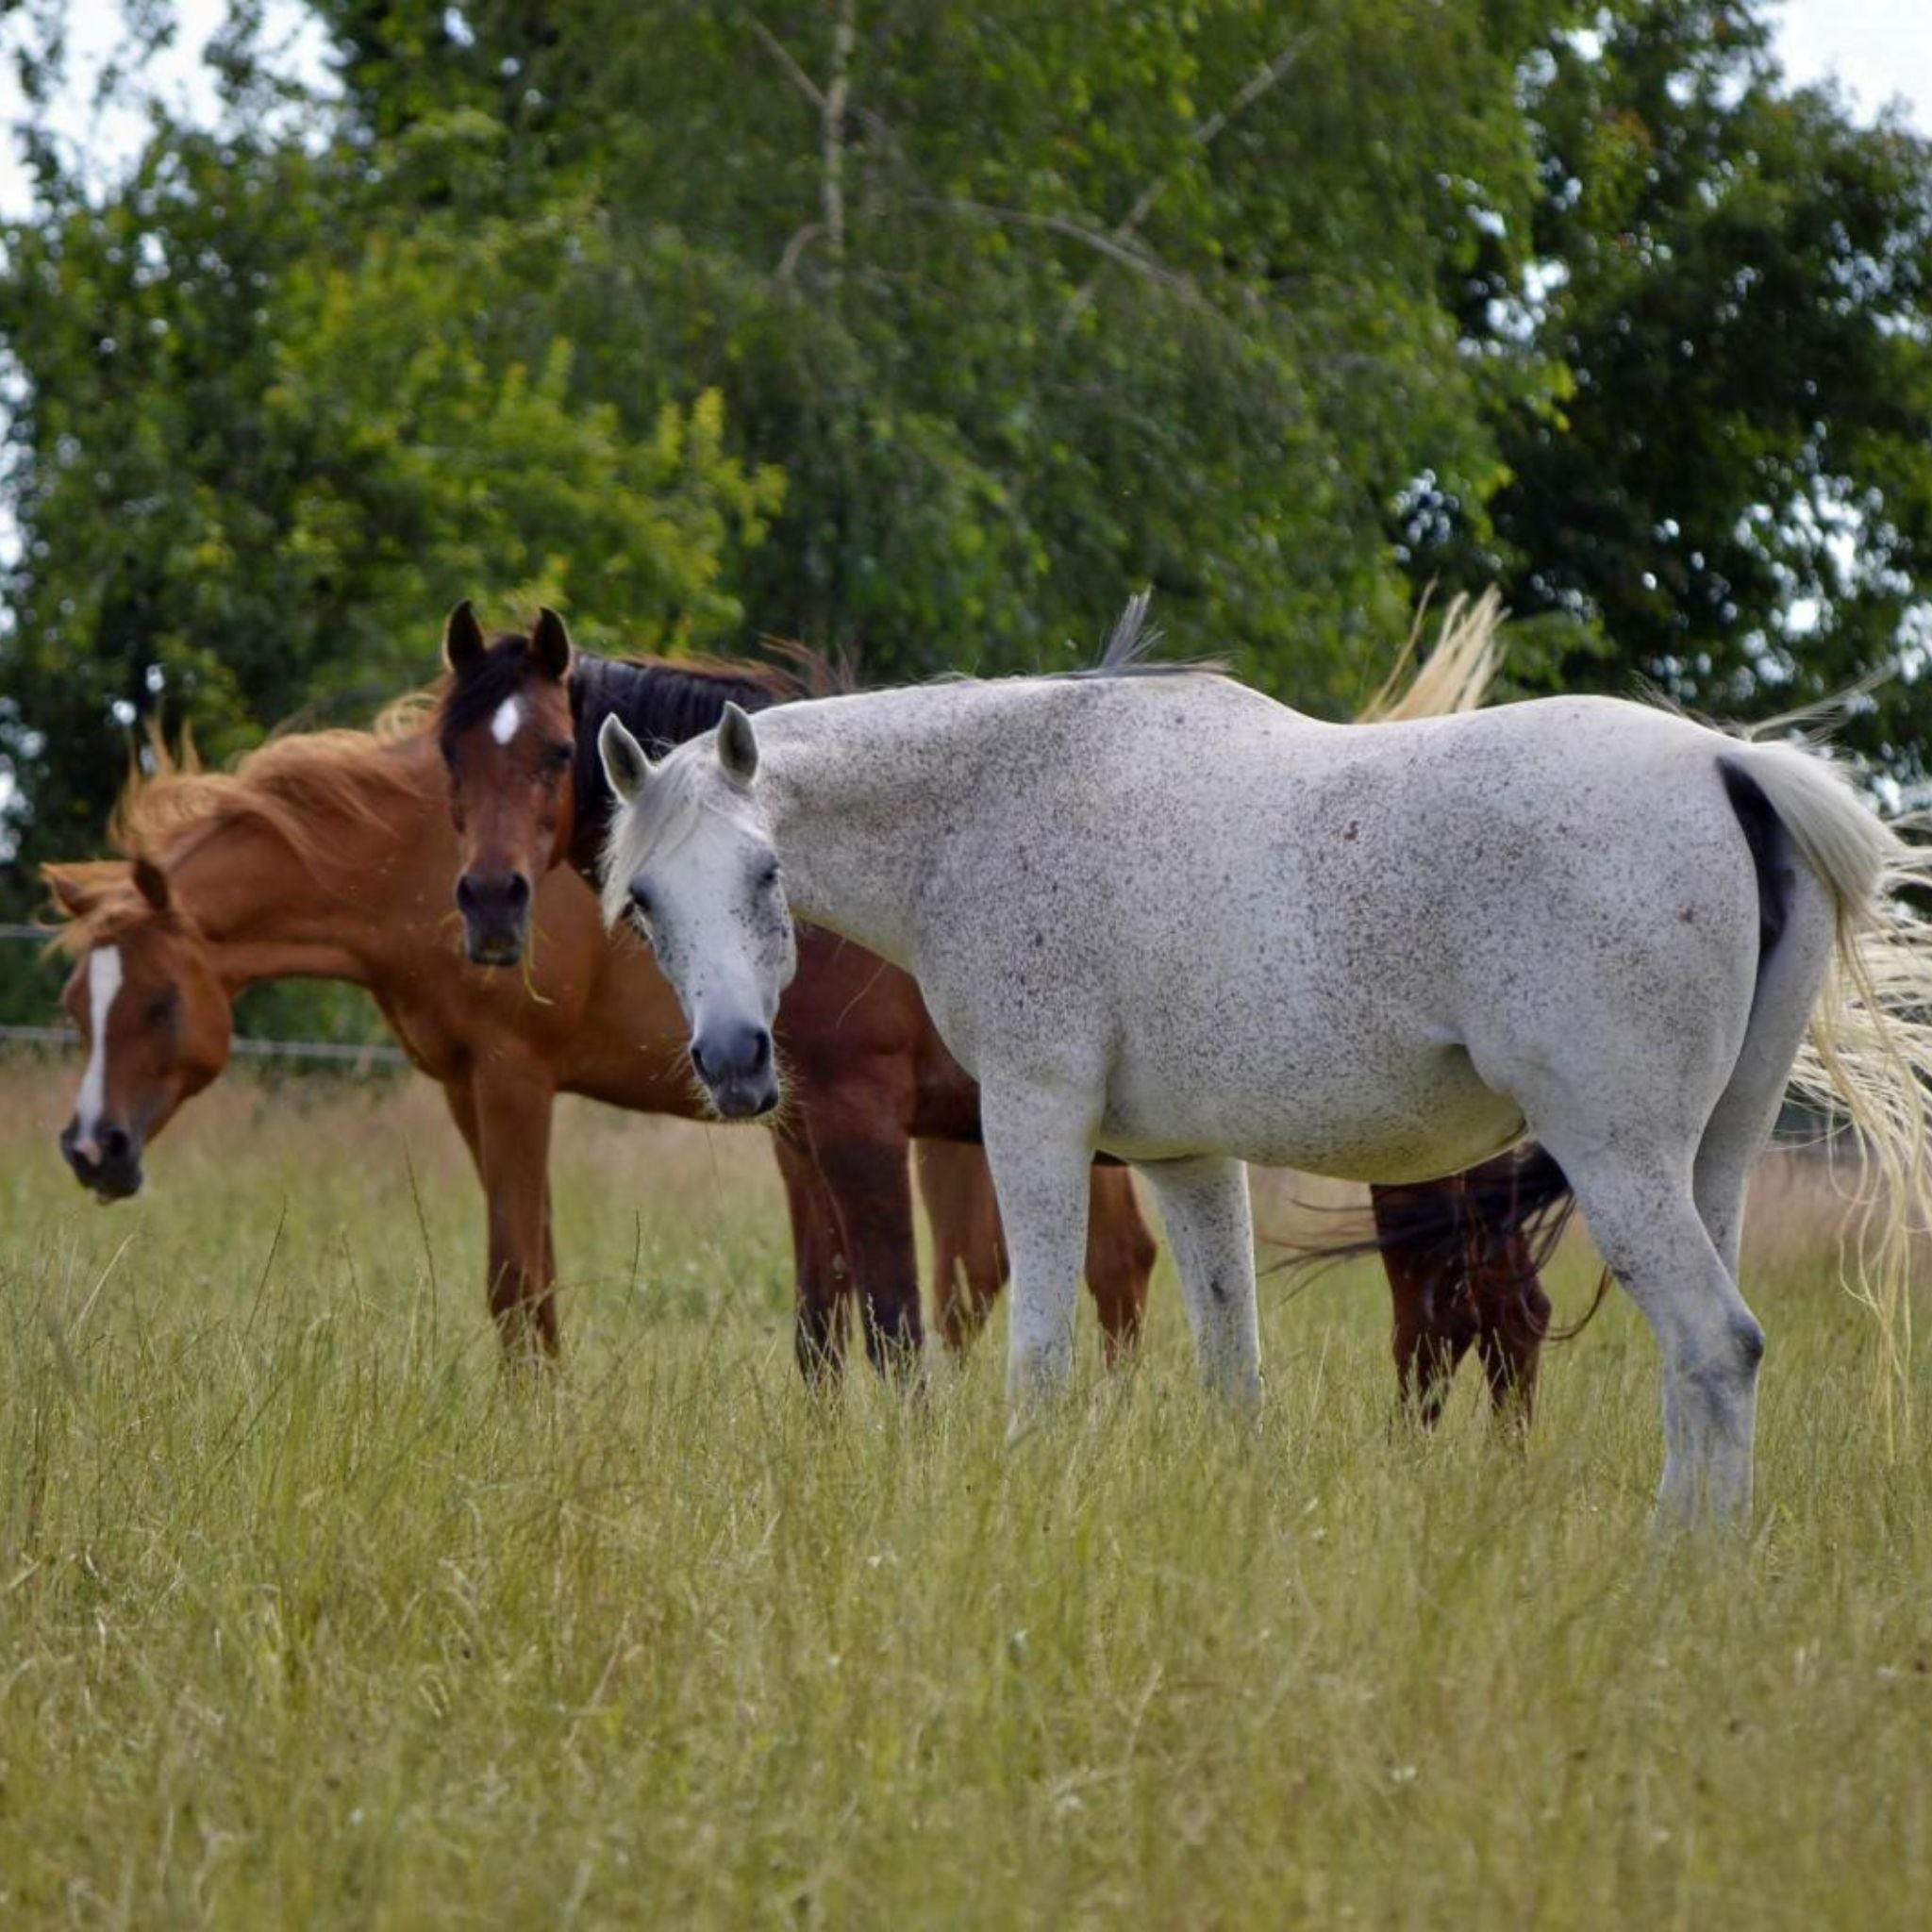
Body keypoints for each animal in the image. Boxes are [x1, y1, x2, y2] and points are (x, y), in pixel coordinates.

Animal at [48, 718, 1158, 1367]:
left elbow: (516, 1276)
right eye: (74, 1005)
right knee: (1078, 1264)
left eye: (156, 1003)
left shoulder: (514, 1077)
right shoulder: (468, 1088)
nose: (93, 1148)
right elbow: (528, 1267)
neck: (425, 856)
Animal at [434, 602, 1568, 1422]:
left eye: (549, 751)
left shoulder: (860, 1125)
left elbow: (893, 1319)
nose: (489, 902)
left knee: (1467, 1311)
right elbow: (819, 1323)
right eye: (451, 753)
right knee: (1477, 1312)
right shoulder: (799, 1132)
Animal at [594, 607, 1924, 1522]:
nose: (734, 1059)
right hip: (1708, 1161)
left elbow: (1038, 1356)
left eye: (764, 870)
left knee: (1712, 1345)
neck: (991, 804)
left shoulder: (1035, 1121)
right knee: (1694, 1364)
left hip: (1616, 1159)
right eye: (642, 900)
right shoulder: (1185, 1160)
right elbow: (1231, 1368)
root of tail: (1725, 766)